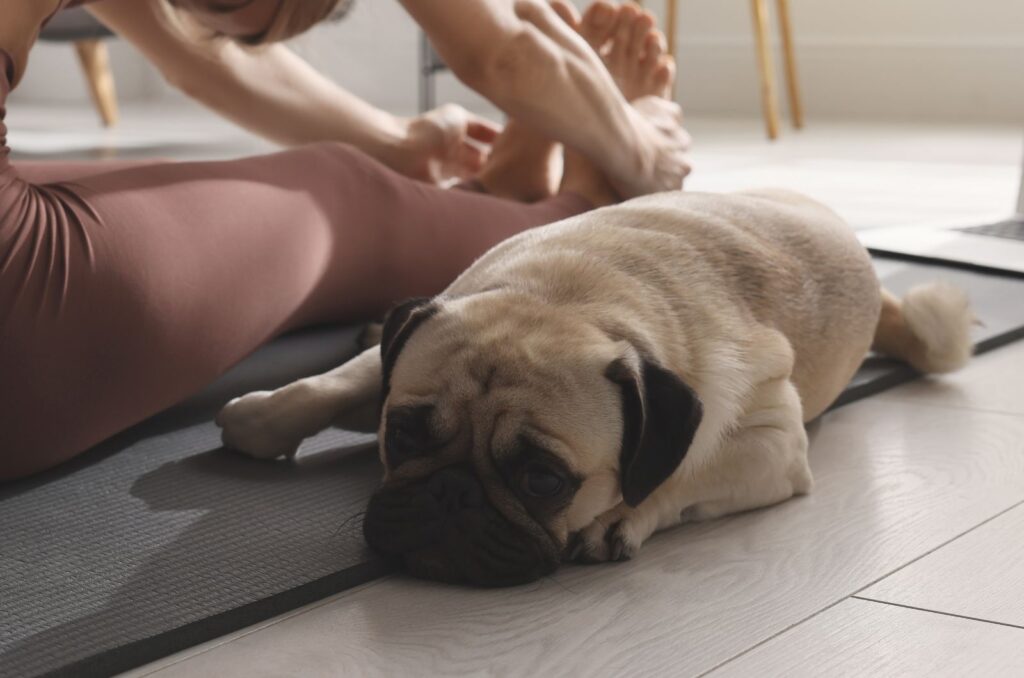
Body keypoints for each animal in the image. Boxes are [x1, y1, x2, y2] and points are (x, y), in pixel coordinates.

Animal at [214, 188, 966, 585]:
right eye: (400, 435)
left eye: (544, 480)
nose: (451, 492)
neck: (570, 297)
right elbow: (344, 379)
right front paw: (265, 415)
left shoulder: (774, 445)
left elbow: (678, 473)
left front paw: (618, 517)